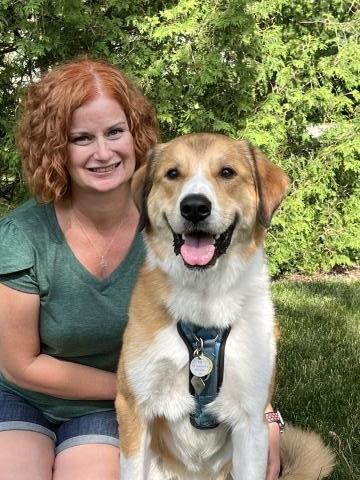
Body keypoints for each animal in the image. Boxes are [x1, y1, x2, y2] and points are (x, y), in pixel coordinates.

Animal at [116, 132, 334, 480]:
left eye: (227, 173)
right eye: (172, 174)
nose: (194, 207)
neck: (205, 304)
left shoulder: (251, 421)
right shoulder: (133, 408)